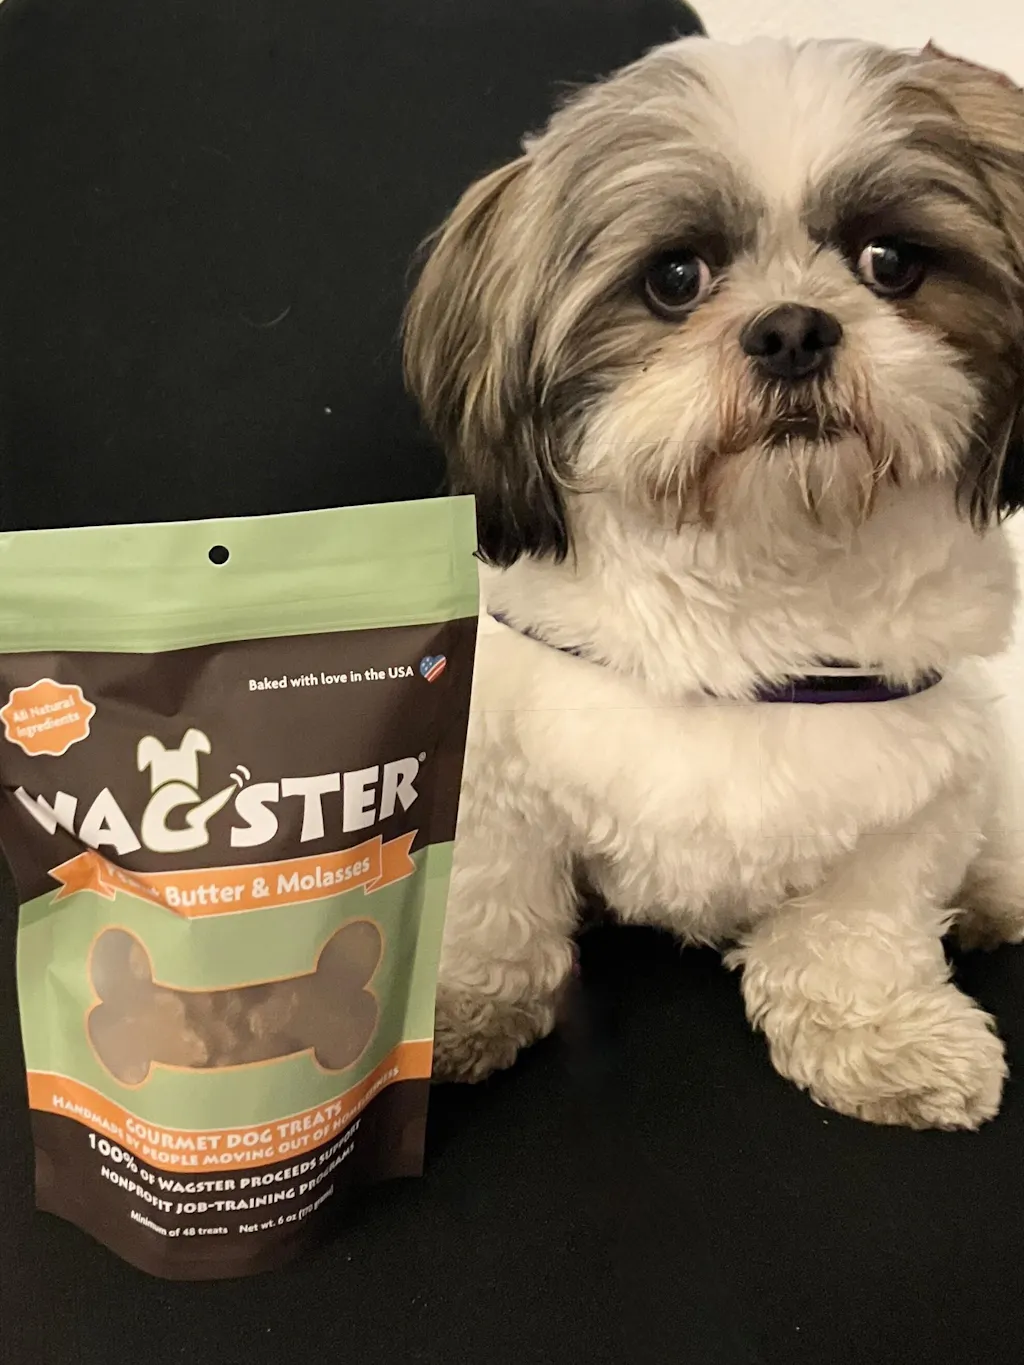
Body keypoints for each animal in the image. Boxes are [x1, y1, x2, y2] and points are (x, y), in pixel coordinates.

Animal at [402, 36, 1024, 1129]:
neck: (756, 577)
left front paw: (883, 1038)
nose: (792, 329)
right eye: (675, 278)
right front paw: (465, 1006)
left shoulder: (915, 791)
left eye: (890, 263)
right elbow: (492, 898)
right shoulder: (497, 768)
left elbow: (861, 929)